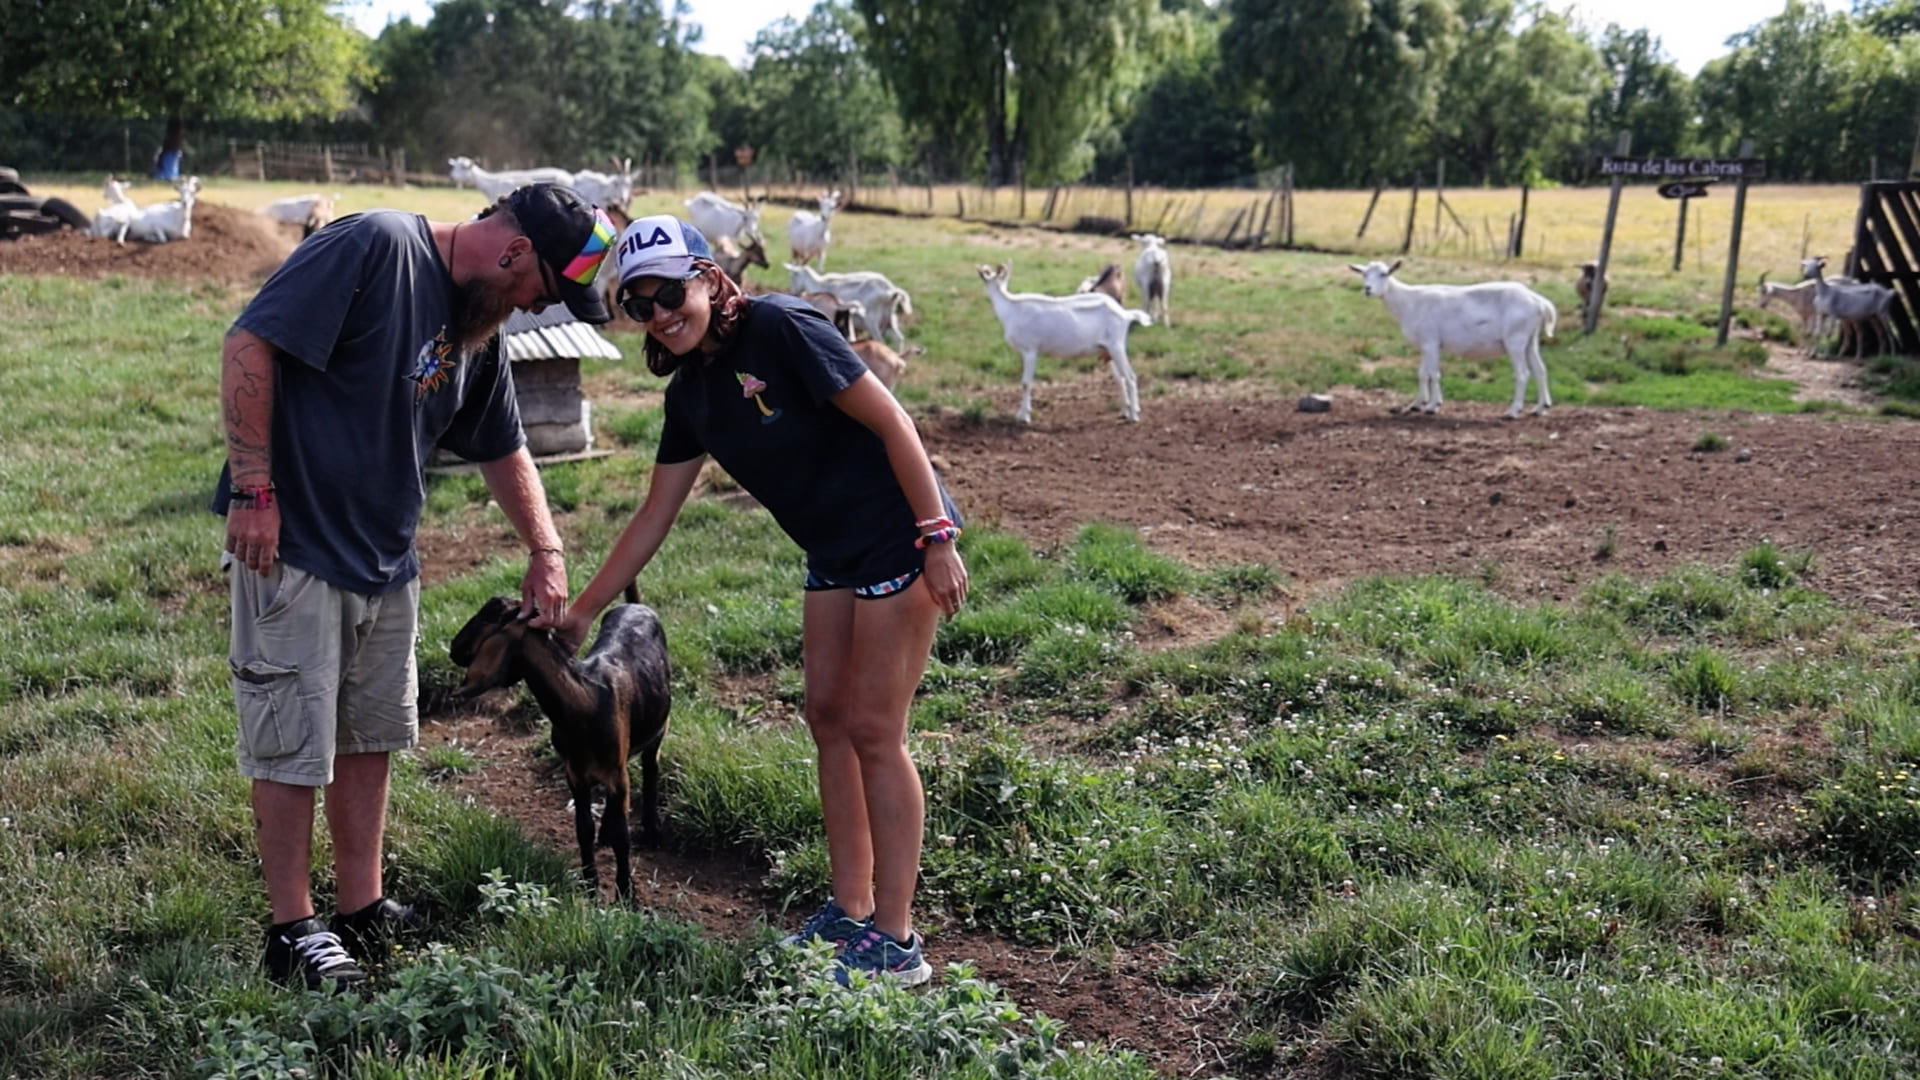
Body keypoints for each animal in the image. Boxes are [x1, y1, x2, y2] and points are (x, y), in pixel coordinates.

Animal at [447, 584, 672, 895]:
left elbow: (622, 836)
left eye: (489, 617)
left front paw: (626, 893)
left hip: (659, 728)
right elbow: (583, 828)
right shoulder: (575, 773)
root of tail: (636, 606)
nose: (453, 649)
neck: (585, 700)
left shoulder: (617, 774)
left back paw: (652, 830)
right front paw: (590, 886)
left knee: (651, 768)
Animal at [983, 263, 1144, 422]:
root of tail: (1126, 314)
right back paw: (1125, 411)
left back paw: (1134, 416)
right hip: (1107, 350)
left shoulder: (1030, 350)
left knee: (1130, 377)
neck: (1012, 308)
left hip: (1117, 347)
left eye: (989, 276)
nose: (981, 271)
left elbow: (1026, 383)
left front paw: (1023, 416)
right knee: (1120, 378)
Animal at [1359, 259, 1551, 418]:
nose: (1367, 289)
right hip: (1530, 340)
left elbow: (1433, 374)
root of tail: (1539, 301)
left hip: (1515, 340)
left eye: (1384, 274)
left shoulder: (1431, 341)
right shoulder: (1426, 344)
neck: (1409, 302)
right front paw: (1417, 404)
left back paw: (1513, 411)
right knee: (1540, 370)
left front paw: (1432, 406)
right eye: (1364, 274)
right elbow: (1422, 373)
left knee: (1523, 374)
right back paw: (1540, 408)